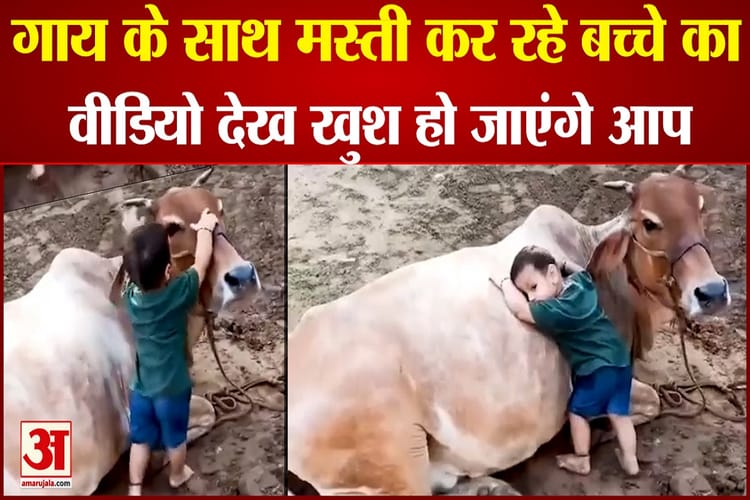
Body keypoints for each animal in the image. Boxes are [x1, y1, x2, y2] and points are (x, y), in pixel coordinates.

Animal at [287, 166, 731, 495]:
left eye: (699, 208)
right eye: (650, 223)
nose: (711, 292)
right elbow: (650, 403)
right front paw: (599, 435)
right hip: (397, 463)